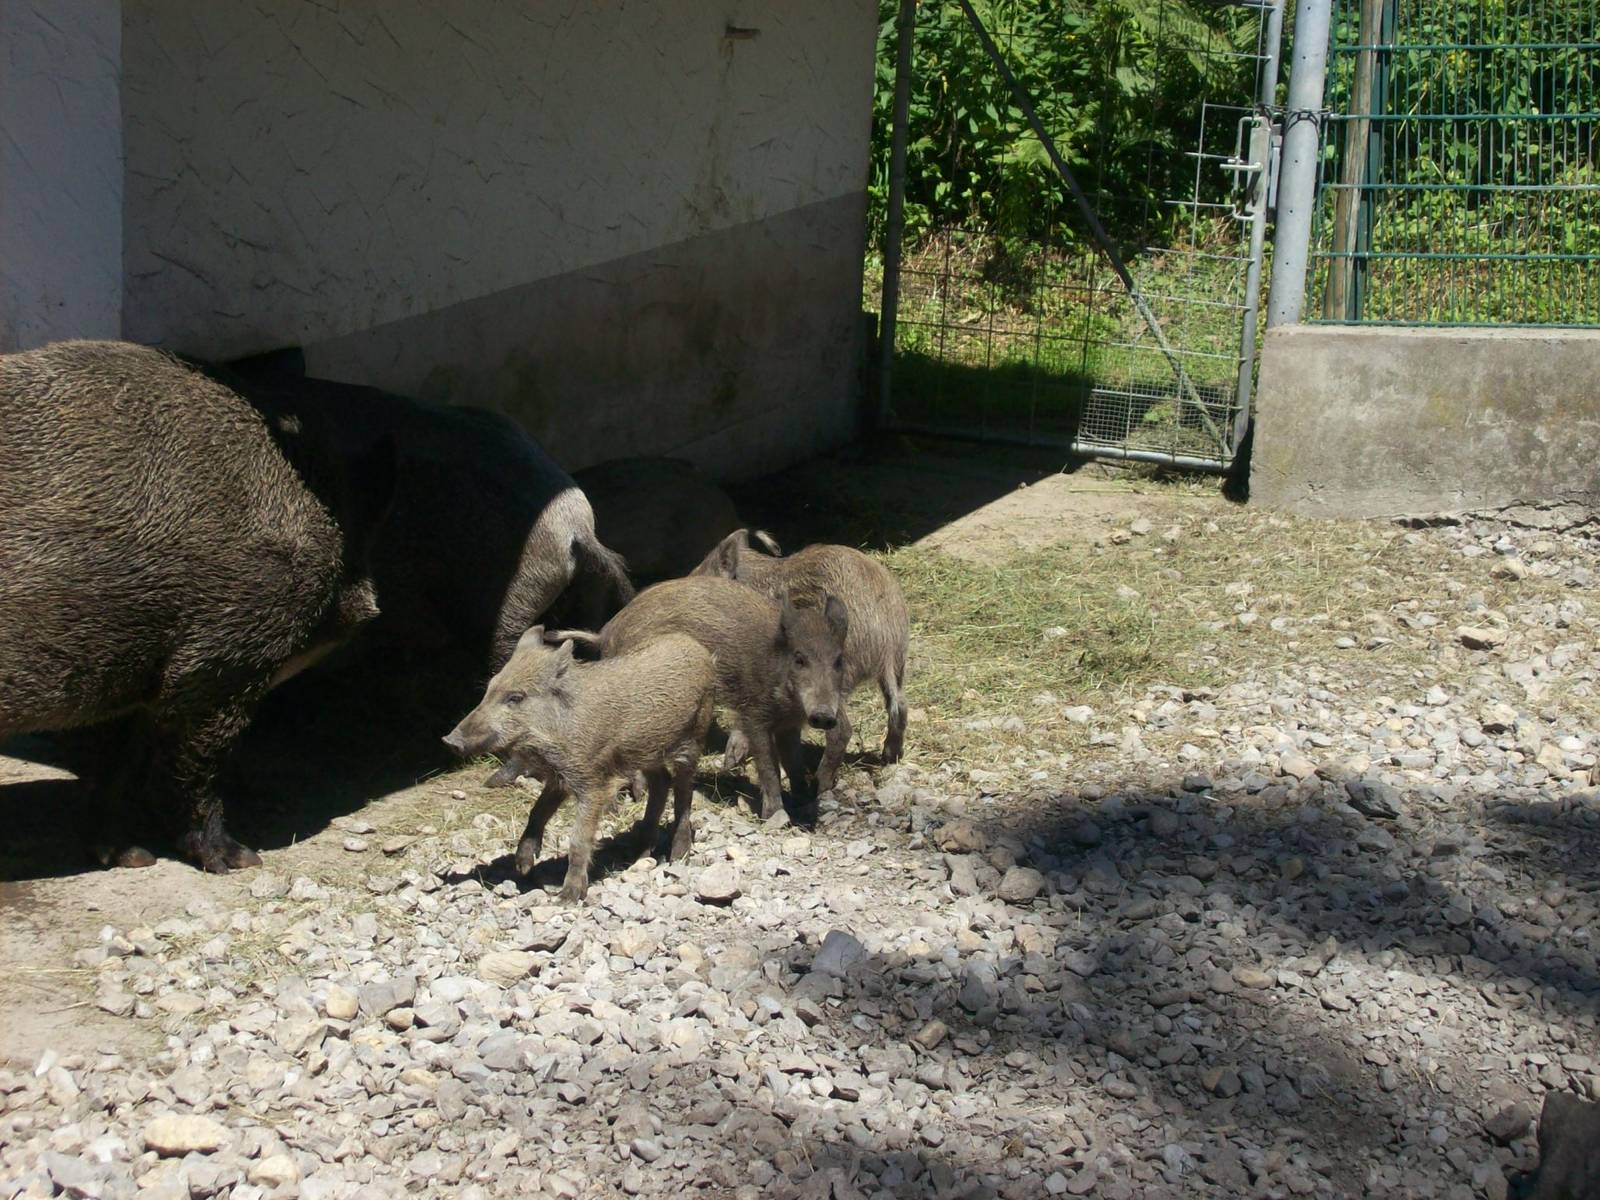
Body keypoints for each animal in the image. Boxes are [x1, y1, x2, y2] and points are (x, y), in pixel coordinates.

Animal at [0, 340, 395, 872]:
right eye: (352, 530)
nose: (369, 610)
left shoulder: (128, 676)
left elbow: (116, 761)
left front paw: (131, 857)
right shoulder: (217, 660)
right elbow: (198, 765)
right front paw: (241, 860)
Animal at [442, 628, 715, 902]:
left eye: (516, 697)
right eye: (489, 689)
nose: (449, 741)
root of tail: (698, 648)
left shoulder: (592, 782)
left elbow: (578, 839)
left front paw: (567, 897)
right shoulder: (559, 777)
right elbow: (537, 811)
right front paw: (523, 868)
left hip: (693, 737)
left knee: (683, 792)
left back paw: (677, 856)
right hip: (644, 753)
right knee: (661, 782)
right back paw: (640, 855)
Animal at [551, 576, 849, 819]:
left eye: (838, 661)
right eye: (799, 659)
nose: (824, 716)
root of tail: (605, 635)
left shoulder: (789, 724)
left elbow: (794, 762)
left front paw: (805, 801)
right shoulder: (754, 714)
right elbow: (768, 765)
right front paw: (776, 815)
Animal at [692, 530, 909, 792]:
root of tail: (885, 637)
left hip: (834, 677)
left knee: (841, 730)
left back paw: (820, 784)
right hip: (898, 667)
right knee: (900, 707)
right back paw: (889, 758)